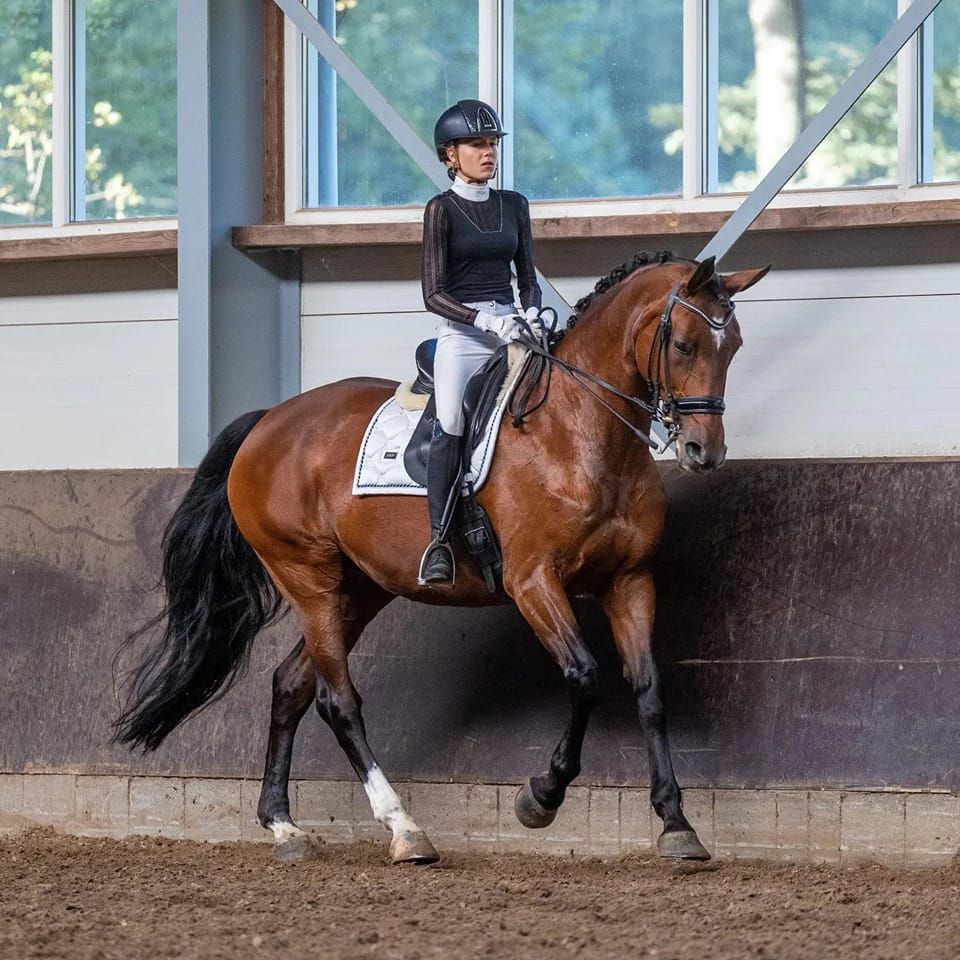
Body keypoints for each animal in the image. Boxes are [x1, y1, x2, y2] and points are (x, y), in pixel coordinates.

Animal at [114, 251, 768, 865]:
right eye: (683, 344)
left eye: (734, 346)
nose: (703, 451)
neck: (580, 434)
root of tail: (268, 422)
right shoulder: (534, 582)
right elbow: (584, 677)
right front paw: (541, 797)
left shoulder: (629, 581)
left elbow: (650, 692)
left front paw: (677, 824)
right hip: (309, 579)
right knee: (336, 699)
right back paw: (404, 829)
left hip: (361, 590)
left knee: (291, 685)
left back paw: (283, 826)